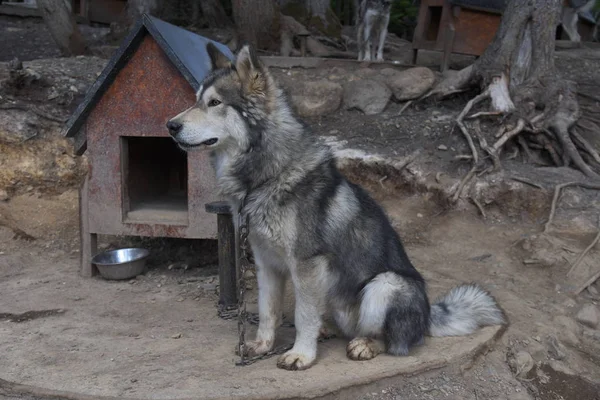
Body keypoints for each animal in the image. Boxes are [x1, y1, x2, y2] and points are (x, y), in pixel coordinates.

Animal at [165, 43, 506, 372]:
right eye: (196, 100)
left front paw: (301, 355)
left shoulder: (307, 264)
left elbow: (303, 315)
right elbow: (267, 312)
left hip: (384, 285)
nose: (170, 125)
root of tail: (427, 316)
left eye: (214, 103)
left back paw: (365, 344)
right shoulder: (267, 264)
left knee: (391, 340)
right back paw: (327, 329)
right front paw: (262, 346)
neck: (265, 176)